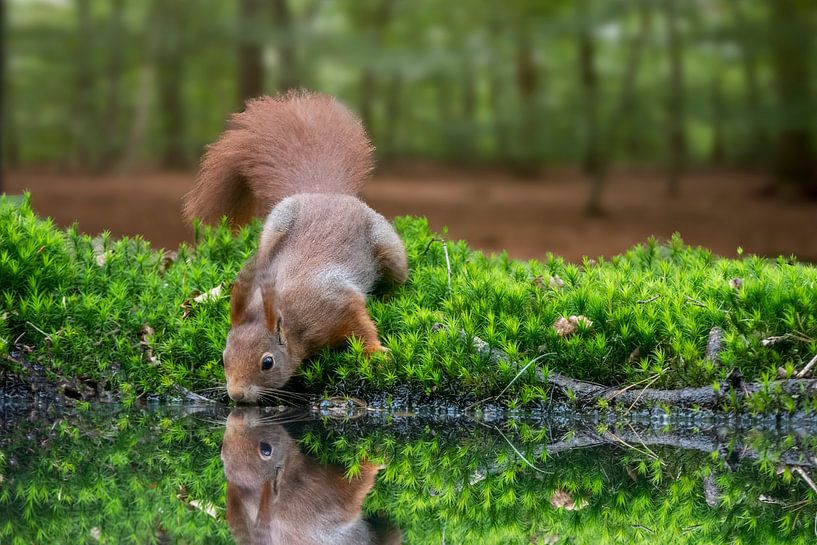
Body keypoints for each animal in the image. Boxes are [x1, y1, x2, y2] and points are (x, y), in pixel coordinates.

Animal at [183, 90, 408, 403]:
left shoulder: (338, 301)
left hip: (388, 245)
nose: (237, 395)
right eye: (223, 358)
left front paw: (375, 353)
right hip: (274, 226)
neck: (292, 321)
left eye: (267, 362)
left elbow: (362, 324)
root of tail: (324, 192)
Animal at [221, 408, 402, 545]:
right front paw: (375, 458)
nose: (235, 416)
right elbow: (355, 488)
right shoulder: (321, 494)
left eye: (221, 451)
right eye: (266, 449)